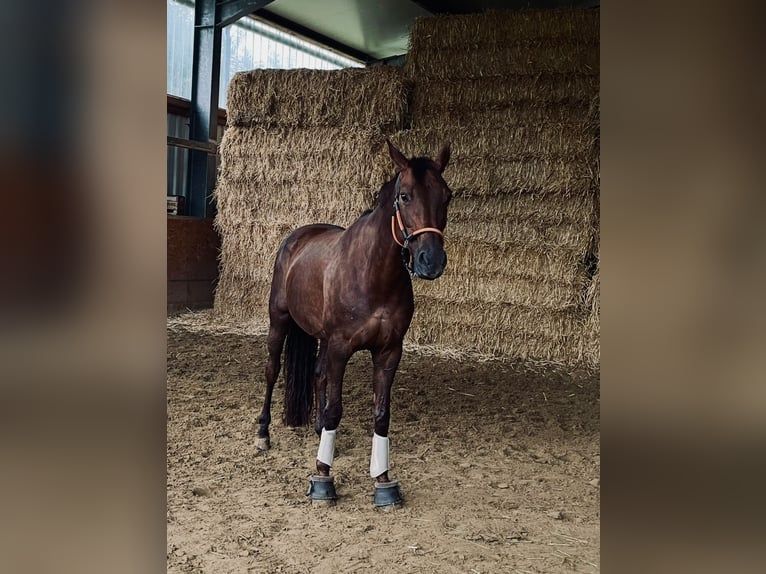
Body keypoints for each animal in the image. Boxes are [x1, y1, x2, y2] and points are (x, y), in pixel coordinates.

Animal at [255, 140, 452, 508]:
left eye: (447, 195)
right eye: (405, 196)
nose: (430, 261)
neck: (373, 273)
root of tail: (298, 237)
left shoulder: (388, 352)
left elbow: (381, 415)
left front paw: (384, 482)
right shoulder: (341, 347)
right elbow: (336, 409)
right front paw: (322, 478)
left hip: (321, 338)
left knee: (318, 374)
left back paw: (318, 430)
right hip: (280, 322)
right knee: (272, 372)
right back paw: (262, 434)